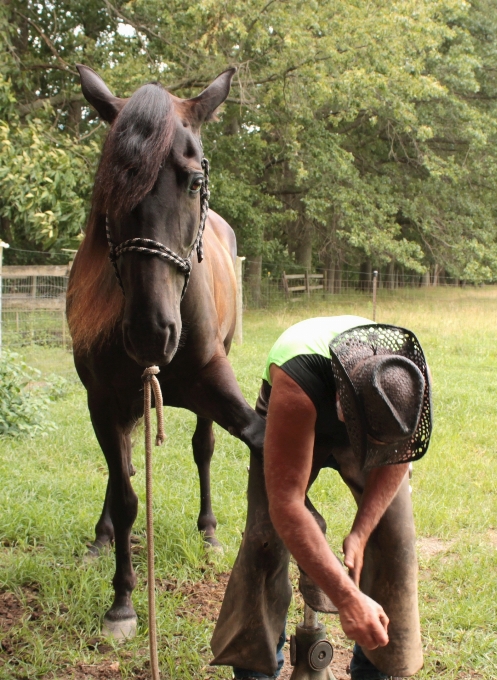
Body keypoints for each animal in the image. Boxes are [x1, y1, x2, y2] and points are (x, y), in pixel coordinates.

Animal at [69, 63, 268, 636]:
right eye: (109, 185)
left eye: (194, 181)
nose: (150, 333)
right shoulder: (103, 400)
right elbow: (127, 494)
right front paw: (122, 601)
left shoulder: (215, 384)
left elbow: (255, 443)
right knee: (123, 472)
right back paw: (101, 537)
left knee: (202, 448)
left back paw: (209, 530)